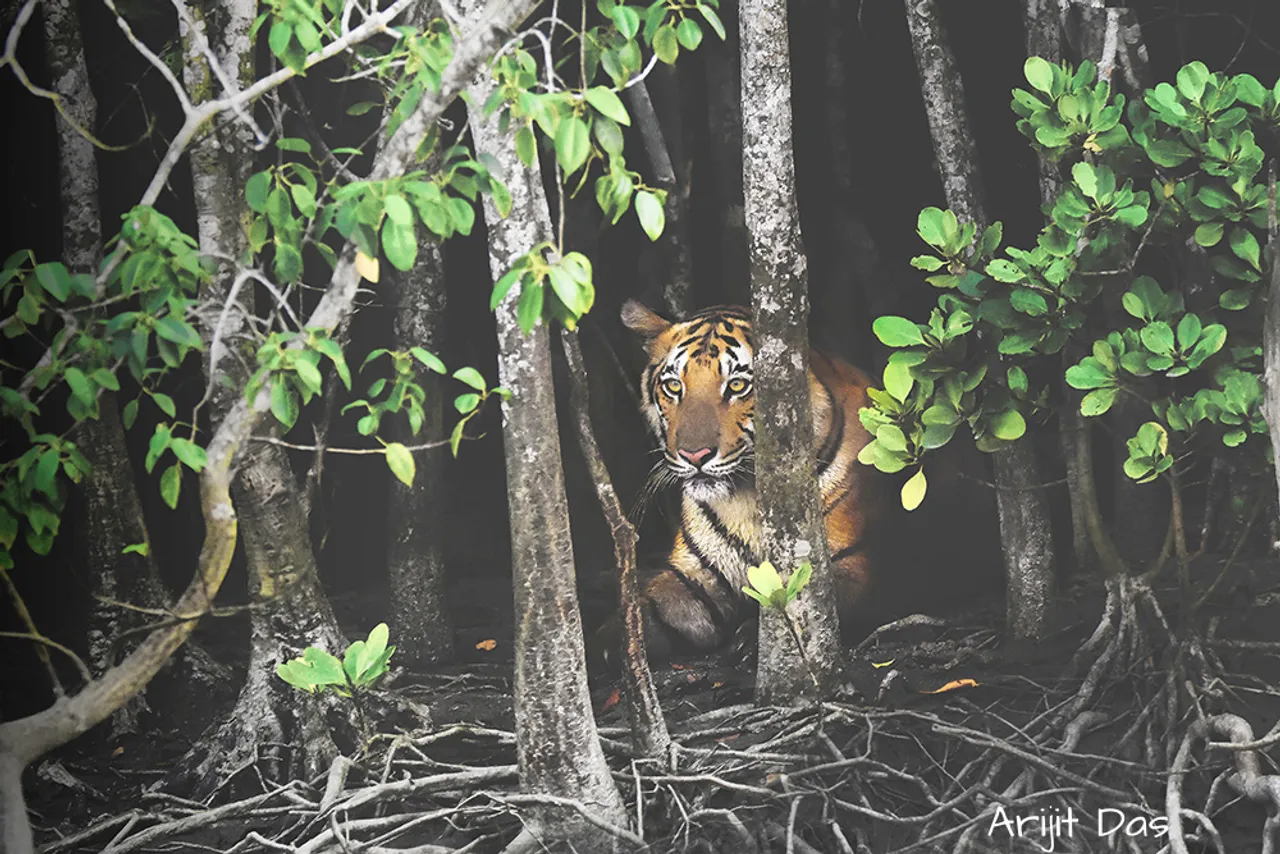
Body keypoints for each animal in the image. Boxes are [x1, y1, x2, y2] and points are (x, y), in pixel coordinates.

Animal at [606, 299, 890, 660]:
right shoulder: (697, 574)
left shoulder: (856, 567)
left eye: (738, 386)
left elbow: (807, 607)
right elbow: (650, 606)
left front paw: (753, 639)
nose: (694, 456)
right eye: (674, 386)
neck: (746, 498)